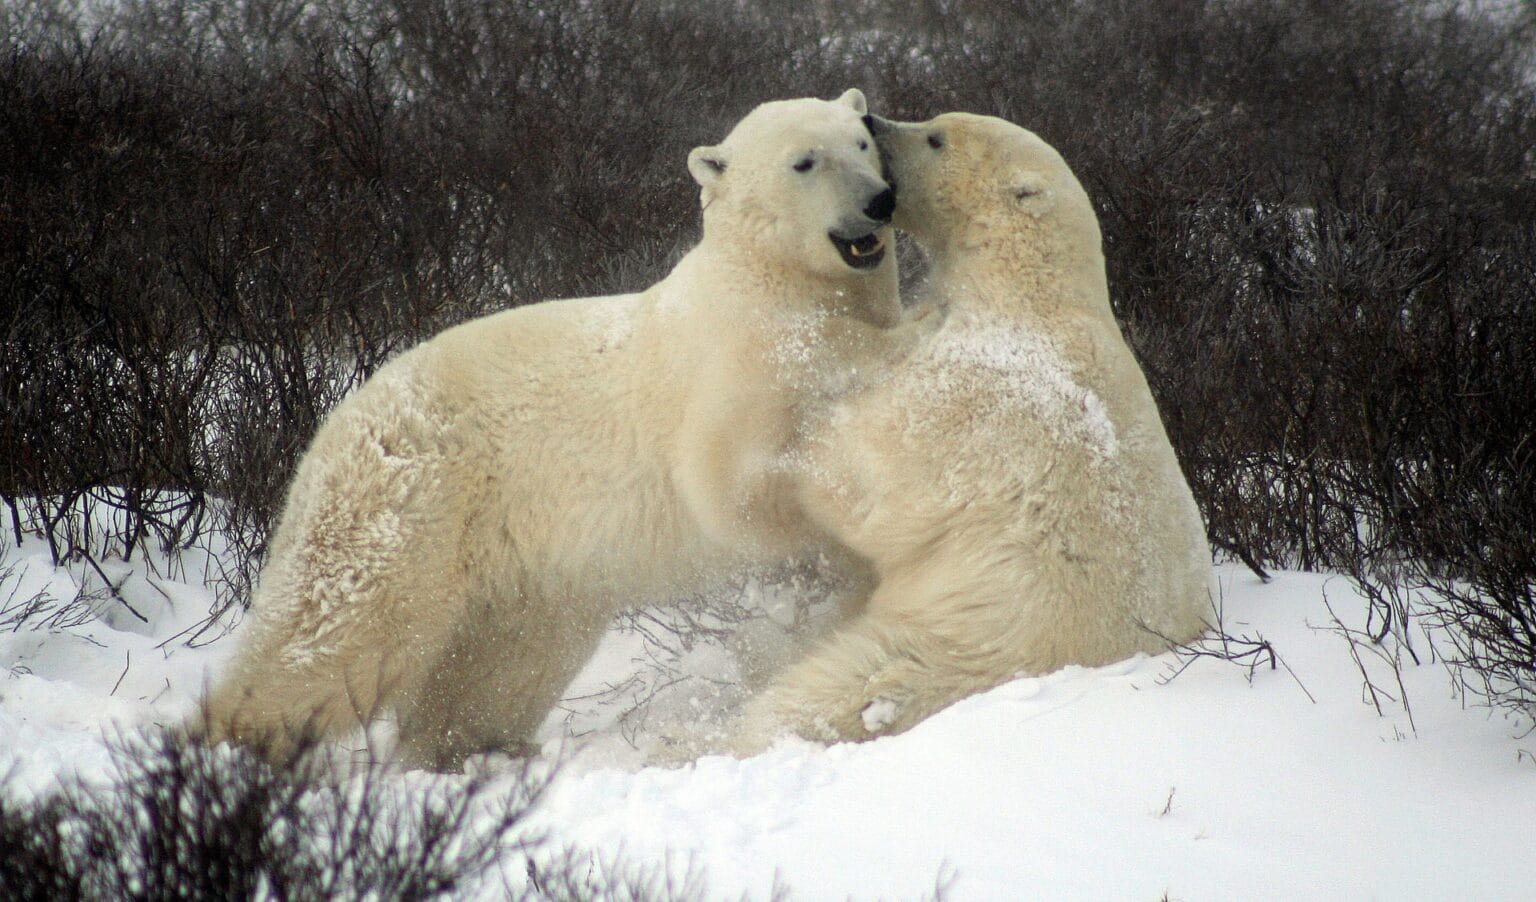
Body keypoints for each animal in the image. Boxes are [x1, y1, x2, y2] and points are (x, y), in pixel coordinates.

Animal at [198, 89, 927, 771]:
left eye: (862, 141)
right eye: (805, 161)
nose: (879, 201)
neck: (769, 282)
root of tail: (336, 420)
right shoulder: (732, 366)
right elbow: (734, 486)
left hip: (528, 571)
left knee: (503, 667)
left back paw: (471, 748)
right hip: (408, 503)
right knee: (338, 633)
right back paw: (232, 746)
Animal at [728, 111, 1213, 751]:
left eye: (936, 136)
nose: (873, 119)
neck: (1026, 291)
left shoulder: (977, 394)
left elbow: (871, 478)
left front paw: (793, 440)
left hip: (957, 642)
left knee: (828, 691)